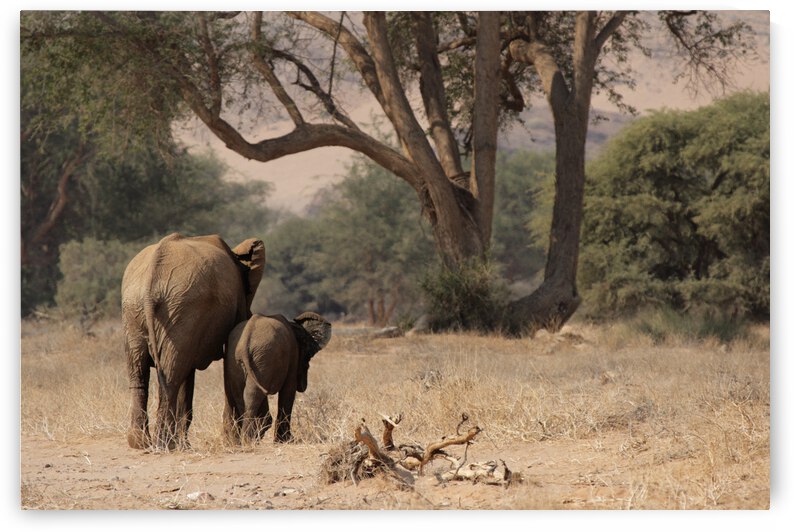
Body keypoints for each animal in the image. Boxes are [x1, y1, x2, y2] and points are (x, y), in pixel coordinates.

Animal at [121, 233, 266, 450]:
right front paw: (231, 442)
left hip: (139, 311)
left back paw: (142, 443)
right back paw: (166, 444)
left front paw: (186, 444)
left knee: (140, 372)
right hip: (179, 310)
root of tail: (149, 282)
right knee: (171, 375)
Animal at [223, 312, 332, 444]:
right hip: (263, 360)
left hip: (237, 361)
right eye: (308, 356)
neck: (294, 326)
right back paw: (248, 439)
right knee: (252, 394)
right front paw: (287, 440)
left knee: (241, 395)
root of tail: (245, 342)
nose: (303, 386)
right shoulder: (293, 355)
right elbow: (289, 390)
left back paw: (247, 439)